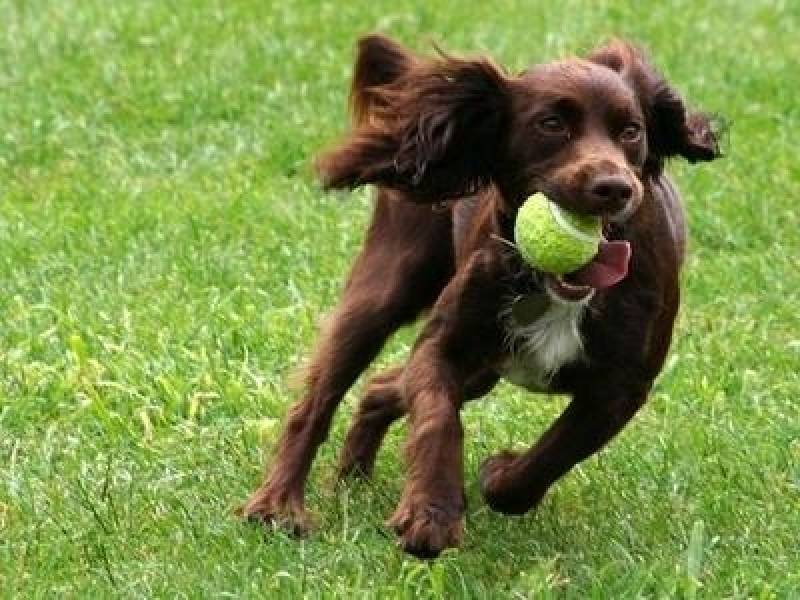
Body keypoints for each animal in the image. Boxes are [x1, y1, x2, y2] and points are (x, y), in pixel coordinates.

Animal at [241, 32, 720, 556]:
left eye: (631, 131)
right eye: (551, 124)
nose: (614, 187)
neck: (553, 285)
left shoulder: (620, 386)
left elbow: (549, 457)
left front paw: (497, 473)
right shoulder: (443, 347)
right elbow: (438, 418)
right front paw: (431, 514)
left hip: (483, 371)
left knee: (382, 386)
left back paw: (353, 478)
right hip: (386, 289)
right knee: (317, 402)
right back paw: (278, 506)